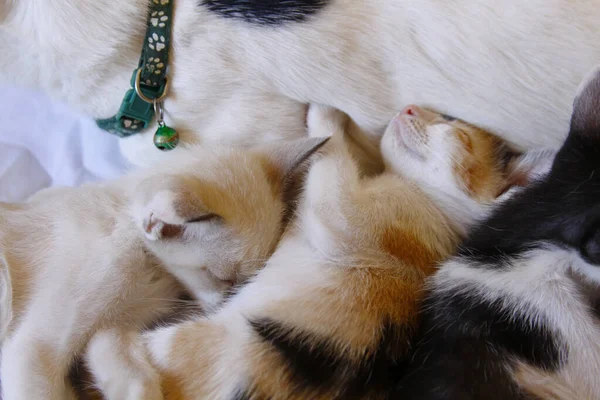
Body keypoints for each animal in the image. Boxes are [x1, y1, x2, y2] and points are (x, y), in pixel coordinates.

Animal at [0, 137, 328, 400]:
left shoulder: (113, 330)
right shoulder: (36, 350)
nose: (228, 305)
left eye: (248, 281)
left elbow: (138, 381)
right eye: (220, 277)